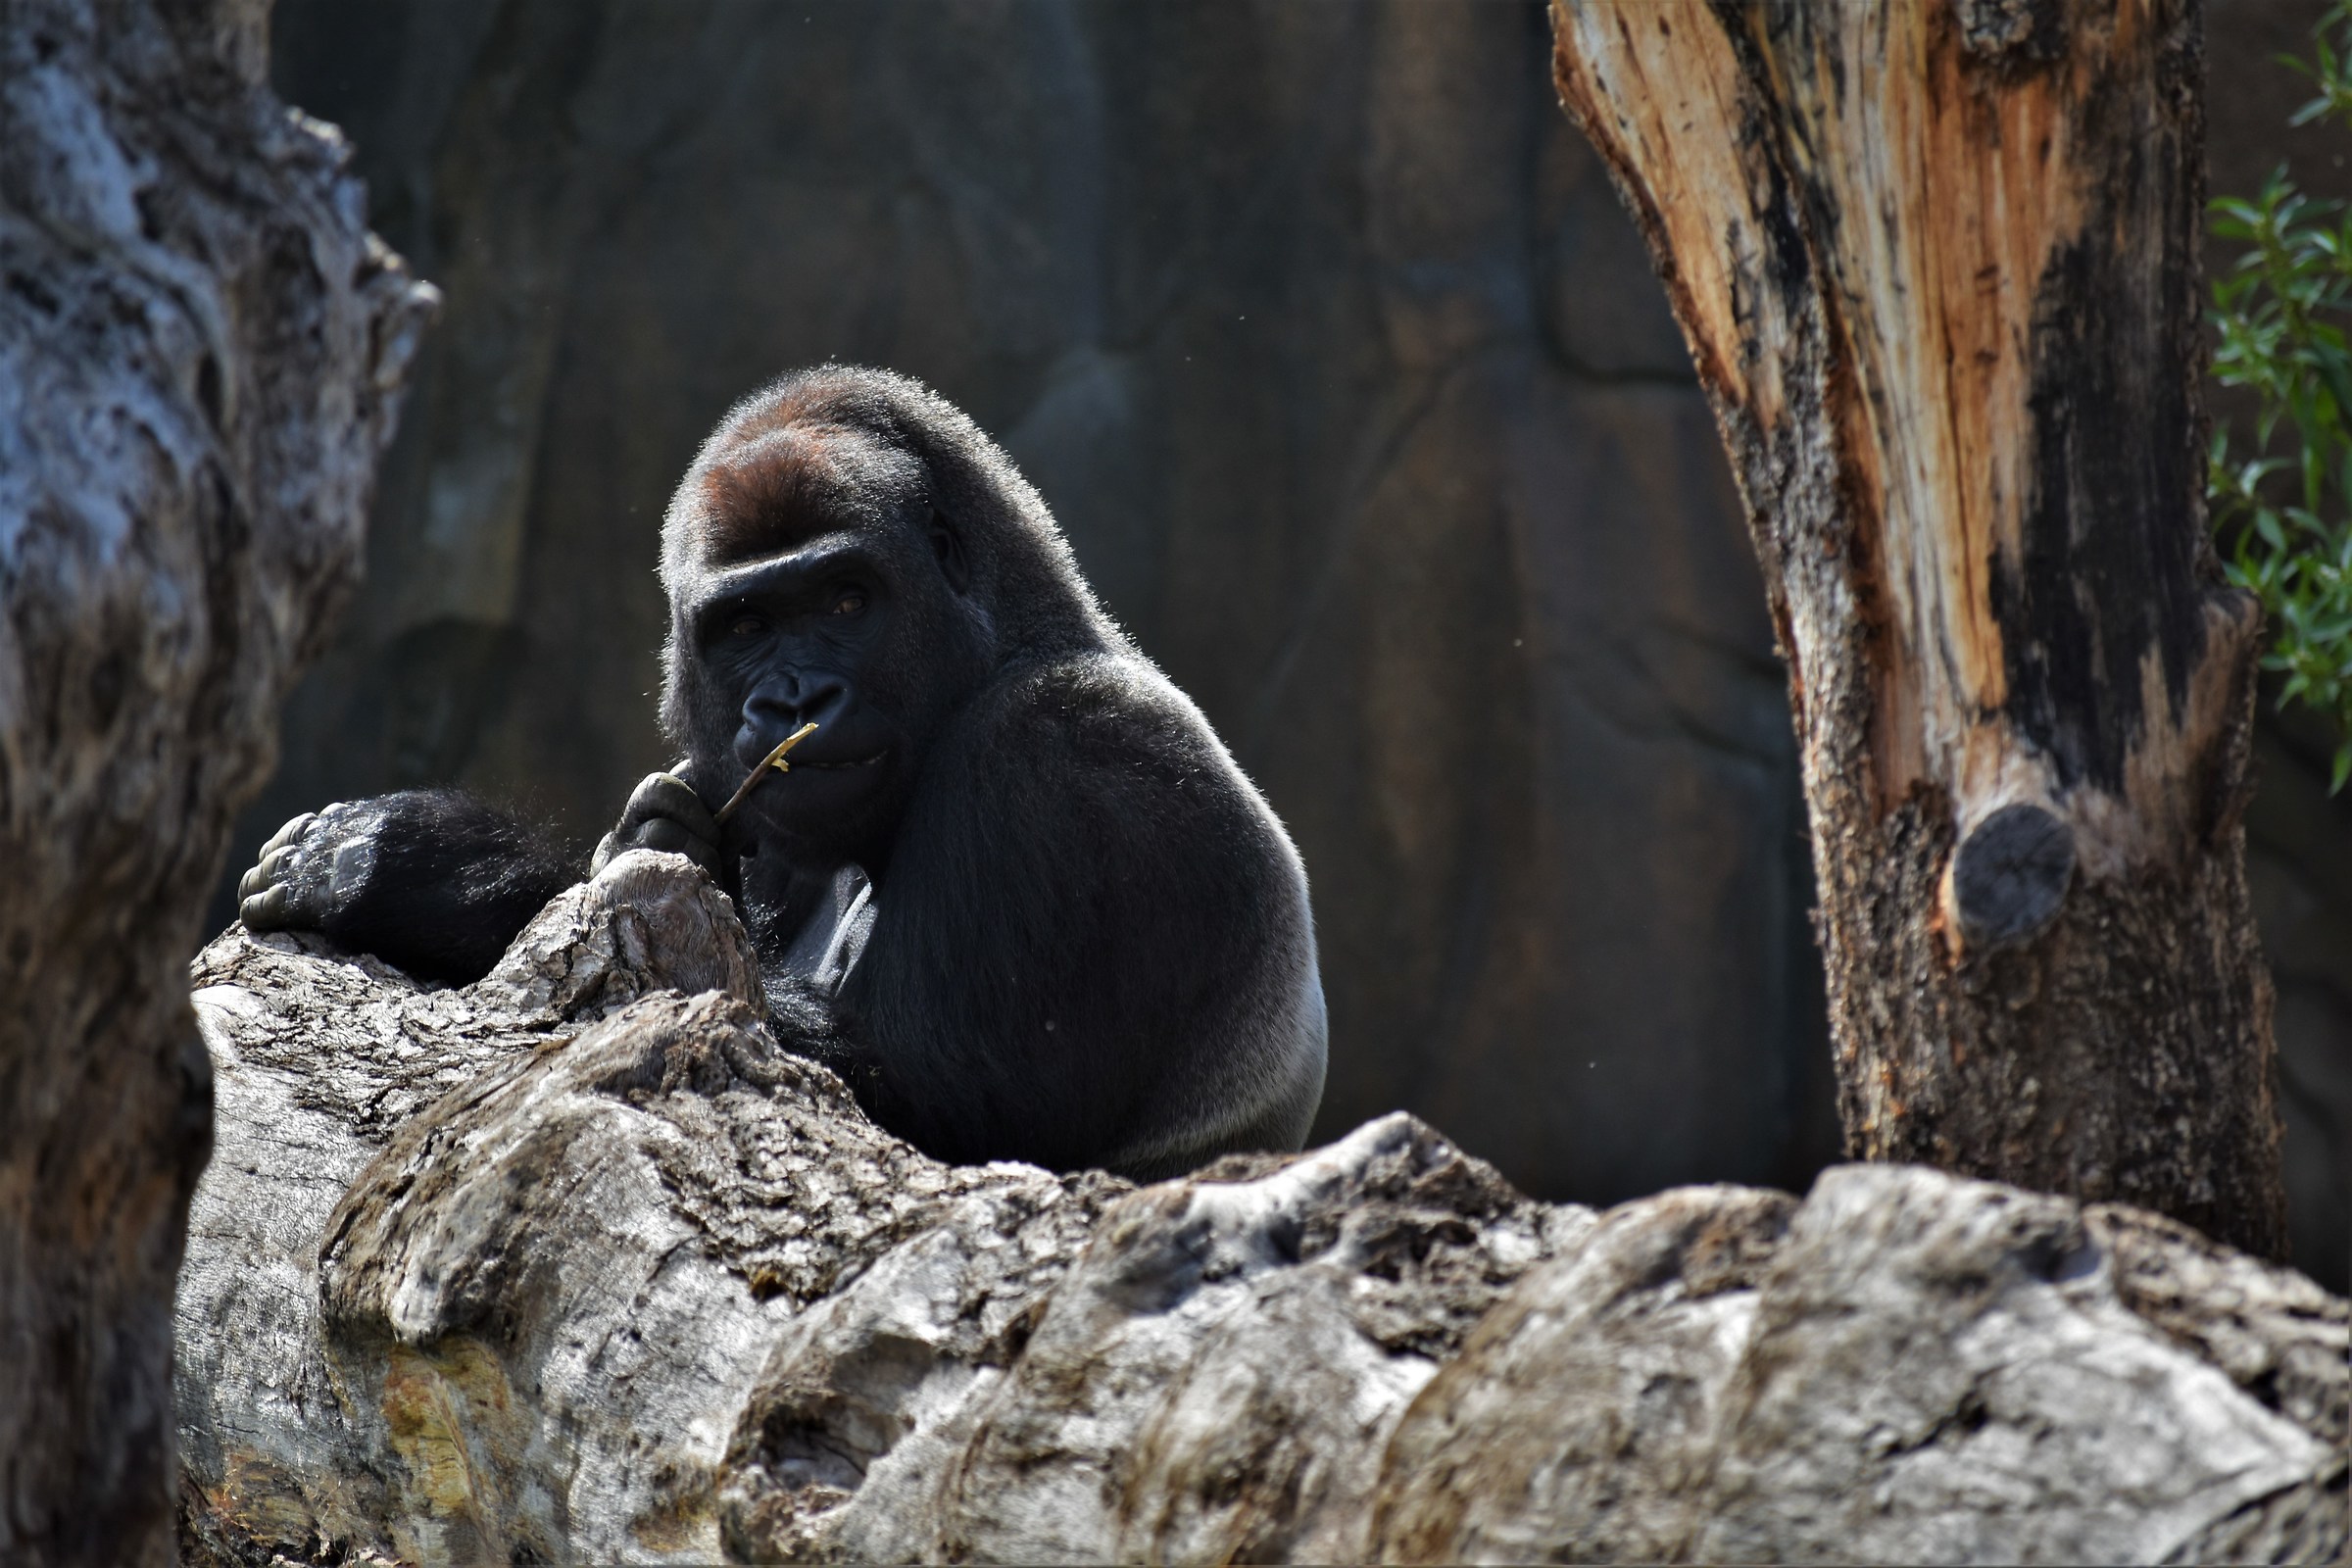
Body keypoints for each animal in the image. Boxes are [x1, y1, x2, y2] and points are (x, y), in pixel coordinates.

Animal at [238, 366, 1328, 1181]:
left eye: (848, 600)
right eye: (746, 626)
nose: (794, 699)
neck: (1011, 640)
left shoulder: (1071, 754)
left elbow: (950, 1105)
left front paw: (414, 864)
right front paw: (429, 867)